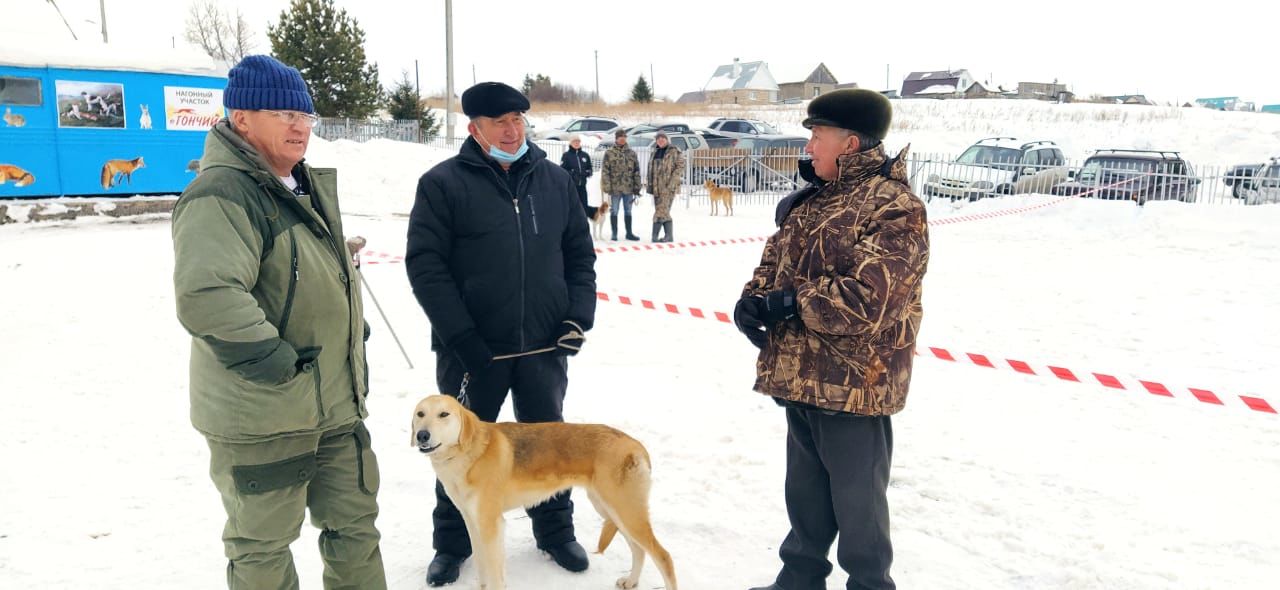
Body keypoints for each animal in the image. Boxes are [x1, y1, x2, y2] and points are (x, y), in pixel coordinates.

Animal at [412, 396, 680, 588]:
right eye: (420, 414)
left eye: (444, 414)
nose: (422, 435)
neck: (469, 453)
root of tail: (636, 445)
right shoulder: (472, 521)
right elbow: (481, 565)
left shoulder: (492, 525)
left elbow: (495, 573)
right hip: (611, 511)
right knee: (639, 550)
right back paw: (631, 581)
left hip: (625, 512)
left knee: (663, 556)